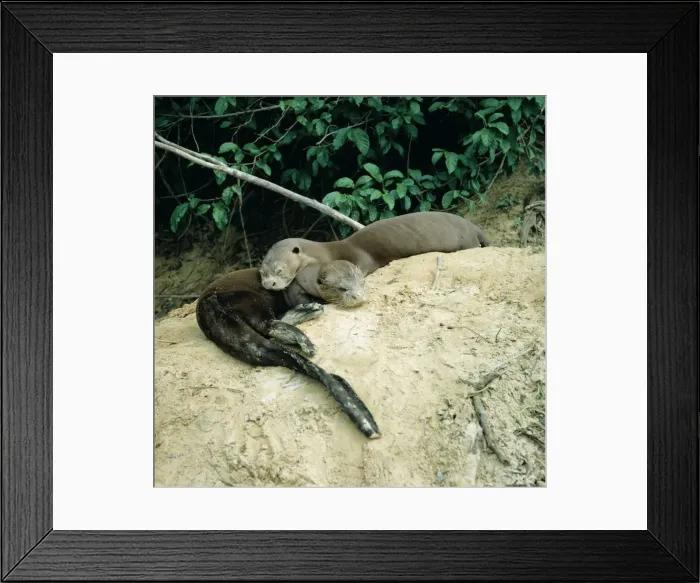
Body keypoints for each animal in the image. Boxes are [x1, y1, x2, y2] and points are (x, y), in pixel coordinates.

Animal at [195, 260, 379, 439]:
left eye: (363, 283)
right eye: (342, 288)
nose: (358, 296)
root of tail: (210, 307)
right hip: (249, 298)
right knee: (267, 325)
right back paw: (304, 328)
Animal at [259, 211, 491, 290]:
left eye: (279, 270)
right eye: (262, 272)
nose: (268, 285)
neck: (326, 252)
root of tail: (474, 227)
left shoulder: (357, 256)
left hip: (466, 240)